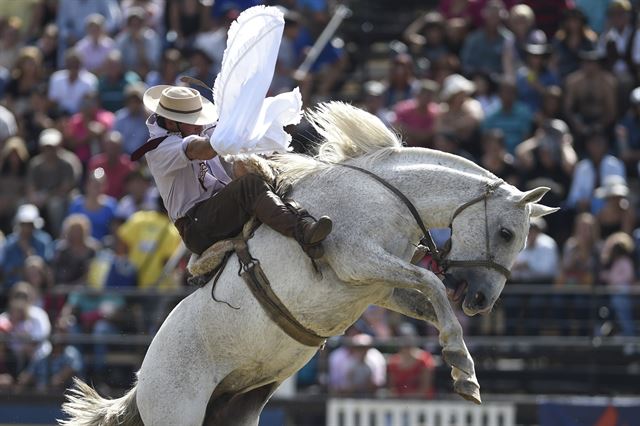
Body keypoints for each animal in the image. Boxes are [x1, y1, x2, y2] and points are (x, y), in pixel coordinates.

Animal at [62, 103, 556, 426]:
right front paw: (463, 368)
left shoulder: (381, 288)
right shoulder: (359, 261)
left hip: (234, 408)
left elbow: (428, 301)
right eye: (507, 233)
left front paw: (462, 365)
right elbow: (430, 286)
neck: (386, 197)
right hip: (179, 412)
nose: (480, 299)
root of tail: (141, 383)